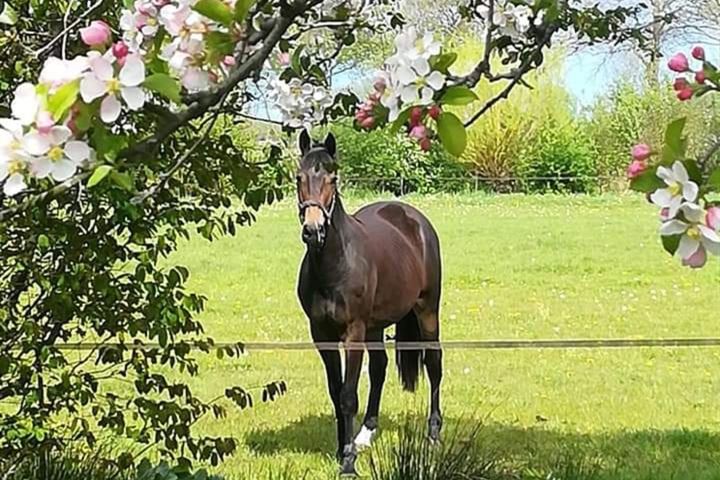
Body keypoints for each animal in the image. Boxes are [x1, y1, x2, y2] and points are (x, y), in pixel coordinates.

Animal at [294, 129, 442, 474]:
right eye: (299, 178)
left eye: (332, 178)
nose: (313, 230)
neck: (335, 264)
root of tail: (414, 219)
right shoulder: (321, 335)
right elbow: (336, 392)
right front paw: (342, 449)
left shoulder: (354, 332)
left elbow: (348, 395)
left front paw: (348, 462)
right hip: (376, 326)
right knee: (379, 369)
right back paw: (366, 432)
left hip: (427, 311)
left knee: (433, 363)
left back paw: (433, 433)